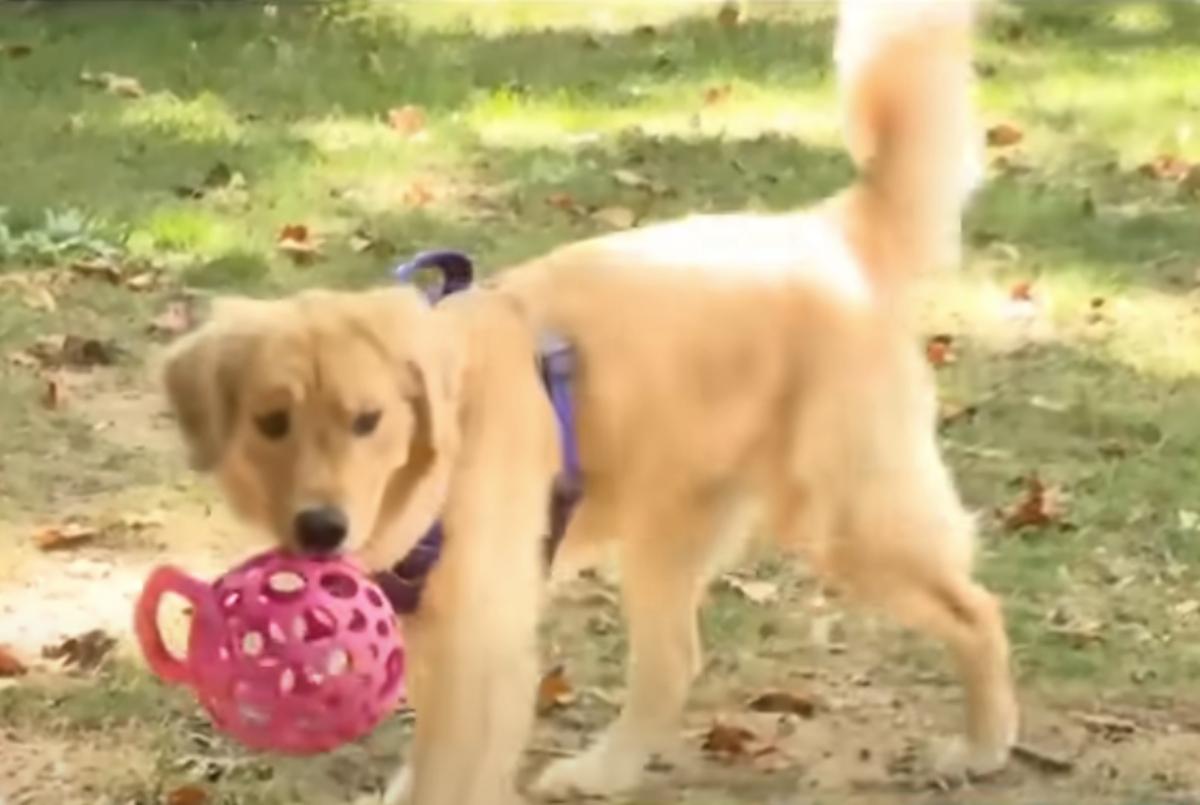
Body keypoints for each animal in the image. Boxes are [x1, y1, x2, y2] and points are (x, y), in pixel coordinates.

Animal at [159, 1, 1012, 805]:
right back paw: (603, 770)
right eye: (272, 422)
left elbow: (446, 775)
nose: (320, 529)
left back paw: (984, 744)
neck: (439, 468)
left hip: (848, 519)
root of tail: (828, 230)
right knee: (673, 661)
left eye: (369, 421)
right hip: (670, 533)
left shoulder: (480, 651)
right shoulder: (444, 639)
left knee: (978, 609)